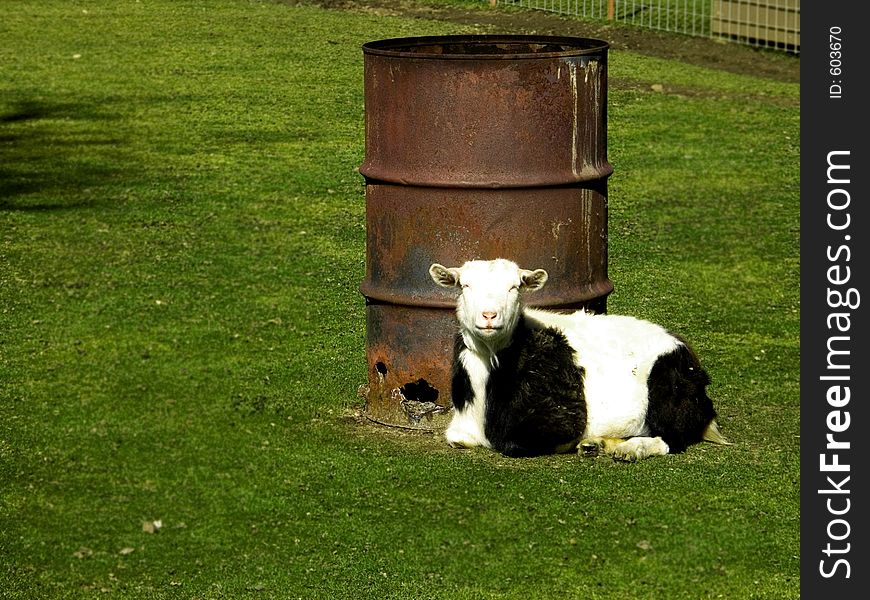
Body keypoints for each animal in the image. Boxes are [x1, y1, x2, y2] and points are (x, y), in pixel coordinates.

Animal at [430, 258, 728, 460]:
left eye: (515, 288)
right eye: (465, 286)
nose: (489, 316)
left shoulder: (559, 420)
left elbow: (515, 445)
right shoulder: (460, 430)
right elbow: (456, 438)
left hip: (668, 389)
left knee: (672, 438)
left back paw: (631, 449)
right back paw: (598, 444)